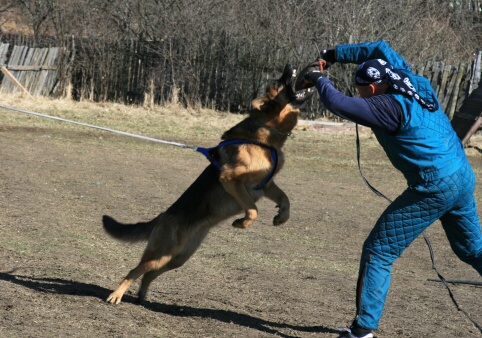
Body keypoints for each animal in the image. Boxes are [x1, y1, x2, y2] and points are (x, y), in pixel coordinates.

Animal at [102, 62, 312, 304]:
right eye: (278, 83)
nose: (290, 65)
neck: (265, 135)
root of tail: (162, 217)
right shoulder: (231, 180)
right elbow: (253, 210)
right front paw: (242, 223)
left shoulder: (266, 185)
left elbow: (285, 199)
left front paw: (281, 217)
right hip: (161, 255)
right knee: (134, 270)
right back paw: (116, 295)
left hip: (177, 259)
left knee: (149, 274)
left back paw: (142, 297)